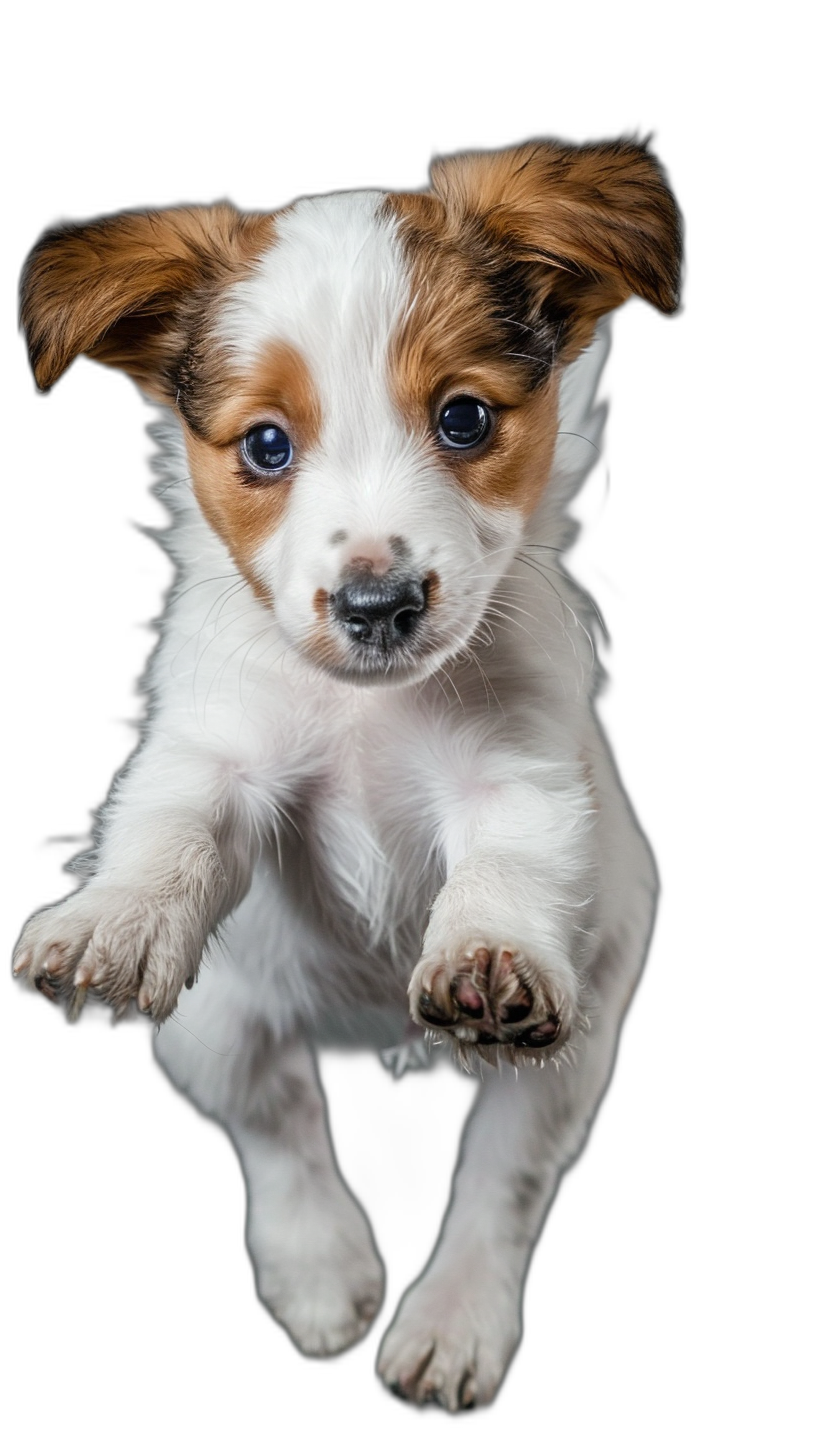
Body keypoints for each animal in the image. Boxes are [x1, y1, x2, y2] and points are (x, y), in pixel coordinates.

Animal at [17, 136, 681, 1409]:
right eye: (266, 445)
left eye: (464, 418)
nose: (379, 604)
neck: (374, 709)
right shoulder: (216, 750)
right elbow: (174, 831)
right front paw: (116, 917)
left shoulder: (524, 776)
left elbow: (506, 869)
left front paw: (489, 953)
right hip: (221, 1024)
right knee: (279, 1123)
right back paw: (320, 1272)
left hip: (571, 1054)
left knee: (501, 1184)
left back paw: (452, 1320)